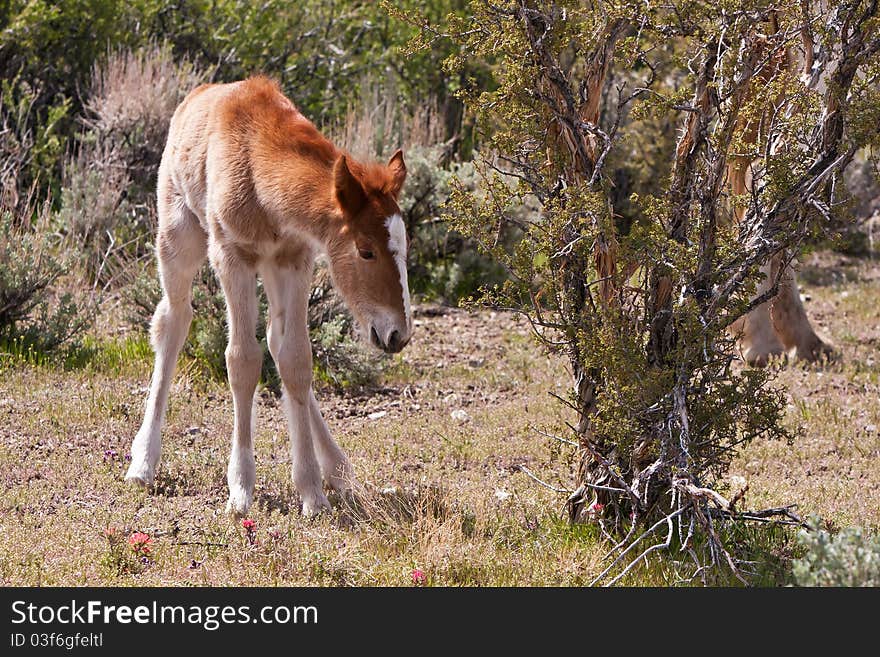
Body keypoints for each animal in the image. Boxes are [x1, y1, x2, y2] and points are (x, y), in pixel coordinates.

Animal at [124, 77, 412, 516]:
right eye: (366, 251)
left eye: (405, 246)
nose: (399, 333)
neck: (260, 181)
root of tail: (194, 96)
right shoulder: (231, 256)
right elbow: (242, 360)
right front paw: (241, 488)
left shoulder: (296, 259)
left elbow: (296, 360)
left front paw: (312, 491)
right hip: (177, 237)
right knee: (172, 322)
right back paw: (143, 461)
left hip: (272, 272)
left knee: (278, 344)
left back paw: (338, 470)